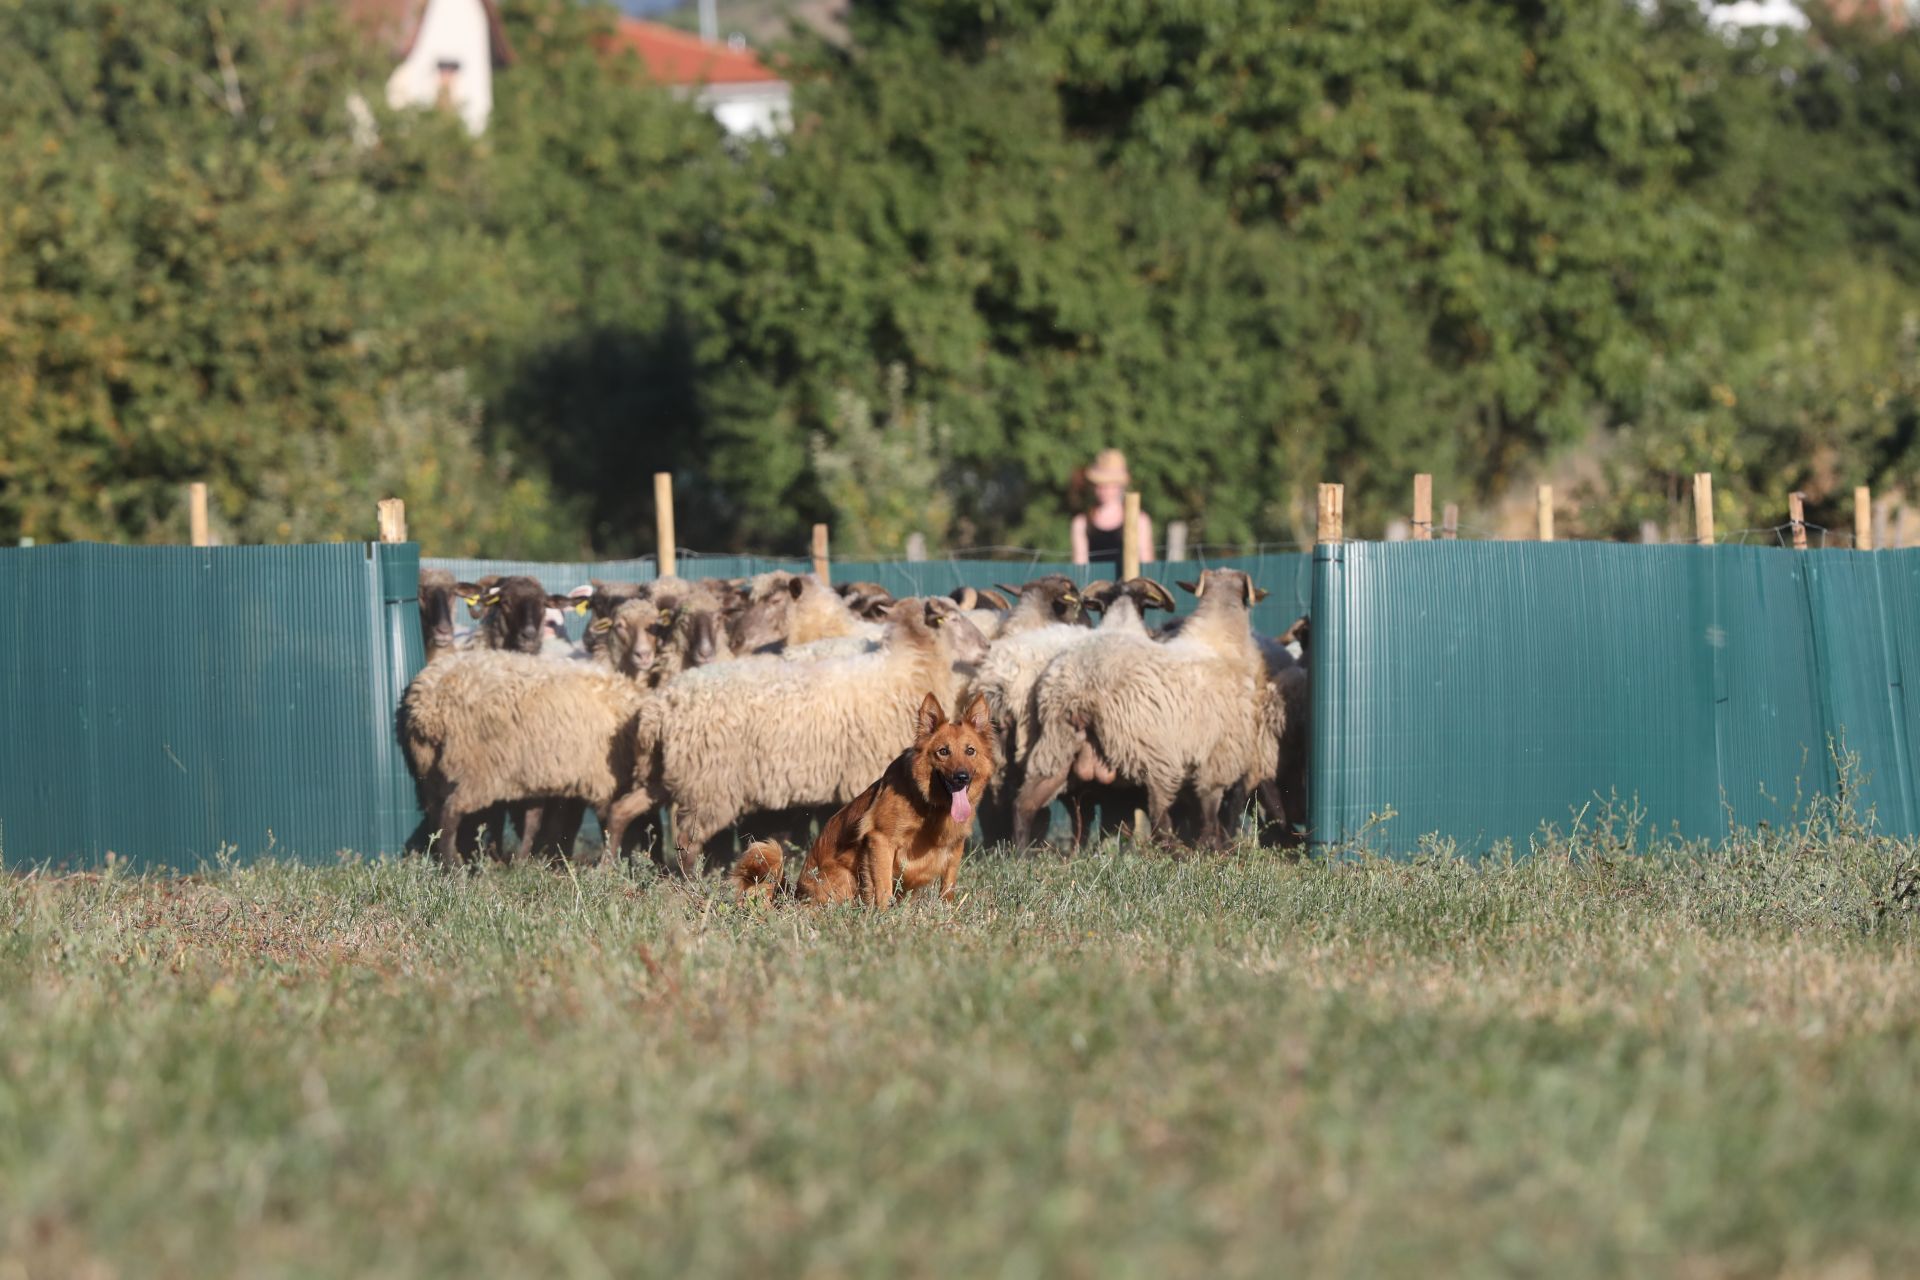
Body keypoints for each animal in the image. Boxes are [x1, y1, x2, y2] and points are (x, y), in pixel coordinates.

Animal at [602, 598, 998, 875]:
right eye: (954, 619)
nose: (987, 648)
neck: (908, 665)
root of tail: (660, 706)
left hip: (667, 774)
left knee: (621, 810)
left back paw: (610, 865)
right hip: (708, 782)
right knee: (686, 838)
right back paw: (689, 881)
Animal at [733, 694, 998, 905]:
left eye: (970, 751)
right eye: (943, 751)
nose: (962, 777)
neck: (929, 805)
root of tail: (796, 896)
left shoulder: (955, 846)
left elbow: (948, 886)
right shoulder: (880, 840)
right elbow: (883, 889)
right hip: (844, 877)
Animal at [1021, 571, 1274, 852]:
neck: (1220, 640)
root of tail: (1083, 685)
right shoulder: (1219, 756)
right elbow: (1210, 808)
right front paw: (1213, 848)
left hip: (1057, 741)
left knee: (1027, 801)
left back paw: (1019, 851)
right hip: (1155, 755)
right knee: (1159, 814)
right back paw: (1175, 852)